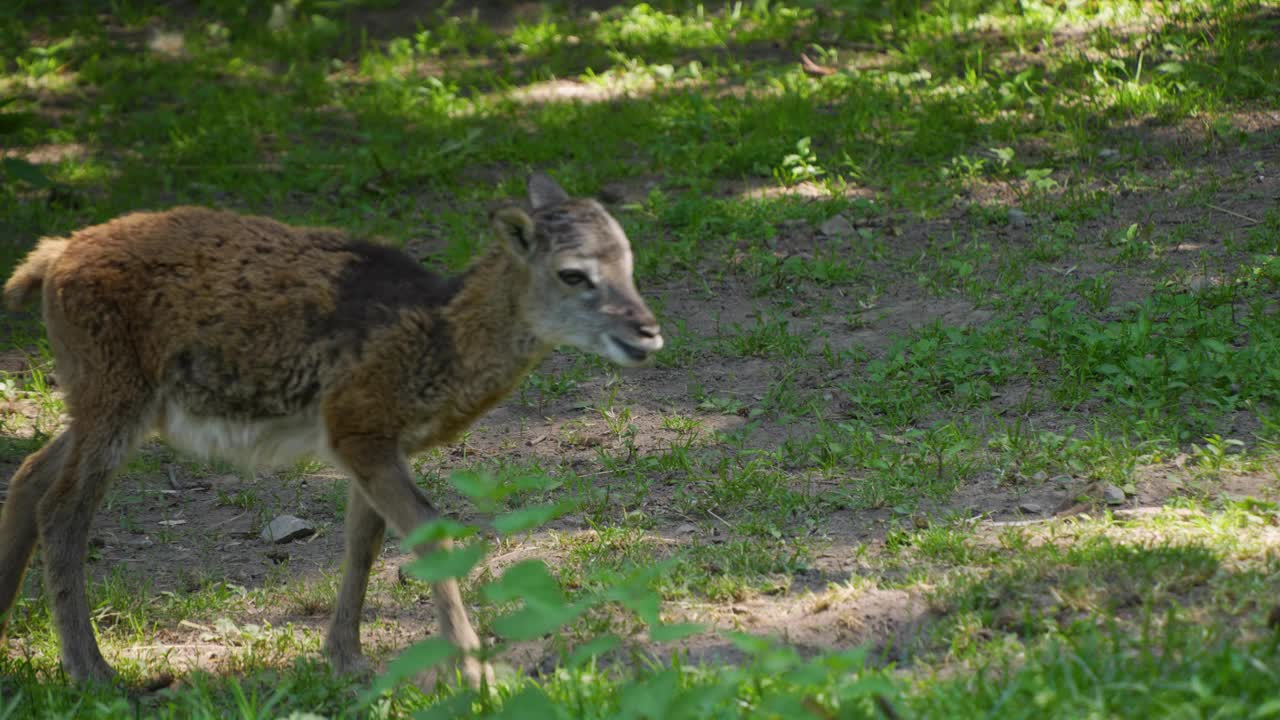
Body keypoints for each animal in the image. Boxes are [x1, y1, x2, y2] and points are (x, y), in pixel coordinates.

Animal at [0, 172, 660, 681]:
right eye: (573, 273)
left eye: (630, 261)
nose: (648, 331)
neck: (438, 341)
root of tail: (53, 258)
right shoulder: (356, 426)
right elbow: (428, 532)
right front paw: (474, 674)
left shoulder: (375, 441)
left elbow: (362, 540)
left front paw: (348, 660)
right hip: (113, 393)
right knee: (64, 507)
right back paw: (93, 672)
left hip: (108, 397)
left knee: (31, 473)